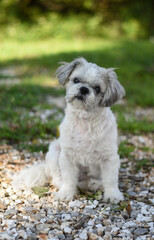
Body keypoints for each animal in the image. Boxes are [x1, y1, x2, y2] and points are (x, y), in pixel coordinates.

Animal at [13, 57, 125, 202]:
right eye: (76, 80)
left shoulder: (109, 158)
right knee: (57, 179)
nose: (84, 89)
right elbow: (68, 179)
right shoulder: (67, 157)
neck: (85, 121)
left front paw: (112, 195)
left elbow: (110, 179)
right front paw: (66, 193)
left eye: (97, 88)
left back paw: (93, 183)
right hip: (55, 151)